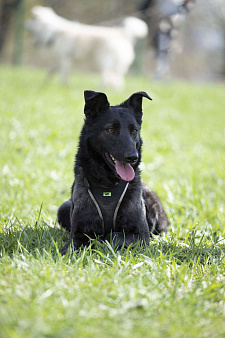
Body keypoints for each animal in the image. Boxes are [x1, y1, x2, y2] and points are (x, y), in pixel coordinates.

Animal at [58, 90, 169, 254]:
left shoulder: (141, 235)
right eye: (111, 130)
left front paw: (101, 241)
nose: (133, 157)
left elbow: (113, 235)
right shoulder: (78, 233)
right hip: (63, 208)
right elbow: (71, 246)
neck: (108, 184)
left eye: (134, 130)